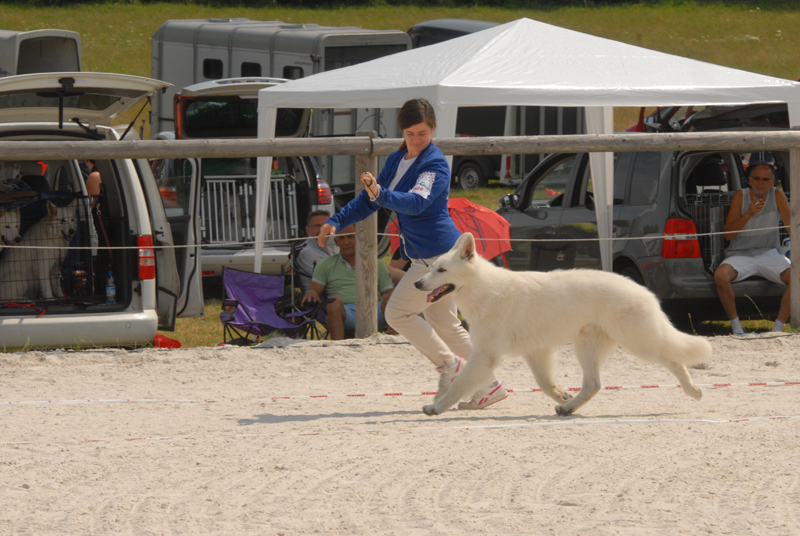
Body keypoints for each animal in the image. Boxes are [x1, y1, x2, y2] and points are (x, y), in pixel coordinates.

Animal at [416, 232, 708, 416]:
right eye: (432, 267)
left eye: (441, 270)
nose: (417, 283)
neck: (482, 288)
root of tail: (643, 290)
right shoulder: (535, 352)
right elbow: (544, 383)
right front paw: (561, 396)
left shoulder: (485, 355)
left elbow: (458, 385)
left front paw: (436, 407)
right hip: (587, 347)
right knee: (593, 385)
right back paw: (568, 408)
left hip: (639, 343)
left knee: (675, 361)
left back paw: (693, 390)